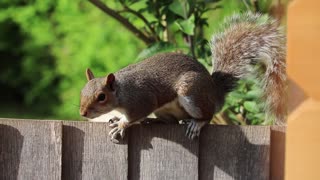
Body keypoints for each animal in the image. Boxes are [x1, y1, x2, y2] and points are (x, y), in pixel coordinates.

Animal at [79, 11, 284, 143]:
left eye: (102, 97)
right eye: (82, 92)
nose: (83, 113)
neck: (122, 91)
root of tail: (215, 92)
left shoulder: (141, 100)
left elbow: (133, 116)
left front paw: (121, 124)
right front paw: (116, 118)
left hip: (191, 92)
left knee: (207, 115)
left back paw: (197, 124)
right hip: (165, 109)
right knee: (171, 121)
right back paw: (153, 120)